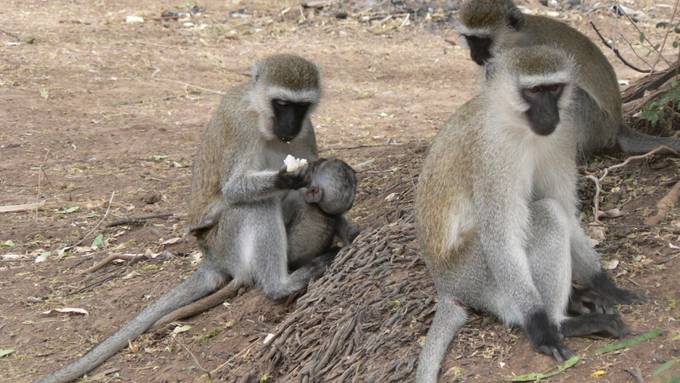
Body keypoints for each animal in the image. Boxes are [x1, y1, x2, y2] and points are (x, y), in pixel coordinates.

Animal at [37, 53, 332, 383]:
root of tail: (212, 258)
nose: (290, 126)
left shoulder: (307, 130)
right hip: (223, 243)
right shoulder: (240, 126)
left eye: (300, 107)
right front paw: (287, 177)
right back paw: (281, 284)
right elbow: (233, 188)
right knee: (257, 205)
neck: (262, 119)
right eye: (281, 104)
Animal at [414, 47, 636, 383]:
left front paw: (606, 286)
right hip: (472, 273)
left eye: (553, 89)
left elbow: (568, 212)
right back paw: (561, 322)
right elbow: (502, 237)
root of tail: (444, 284)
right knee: (546, 215)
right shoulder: (493, 155)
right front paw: (542, 328)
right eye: (533, 91)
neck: (518, 126)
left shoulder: (563, 134)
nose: (549, 115)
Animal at [452, 0, 680, 159]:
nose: (475, 56)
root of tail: (616, 126)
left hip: (596, 124)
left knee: (572, 96)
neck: (515, 39)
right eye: (470, 40)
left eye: (482, 40)